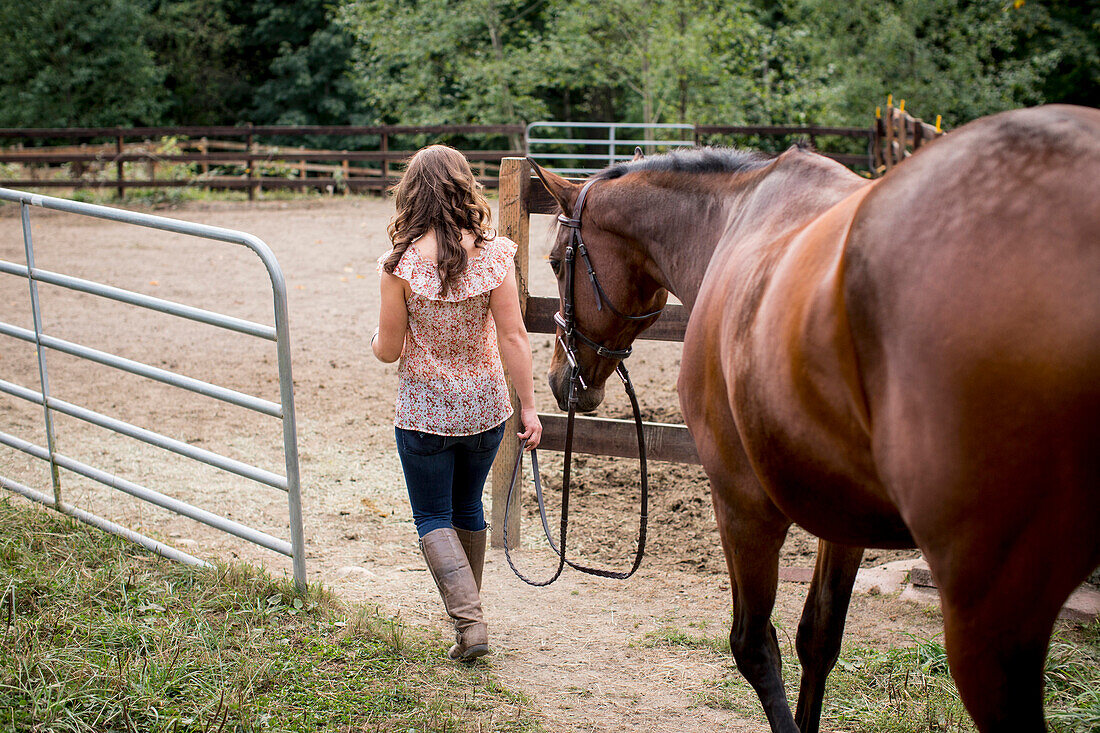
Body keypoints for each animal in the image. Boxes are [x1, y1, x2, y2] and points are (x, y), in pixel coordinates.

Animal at [528, 104, 1095, 730]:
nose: (559, 378)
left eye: (554, 261)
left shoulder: (742, 504)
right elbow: (818, 639)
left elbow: (753, 645)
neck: (733, 220)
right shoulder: (839, 516)